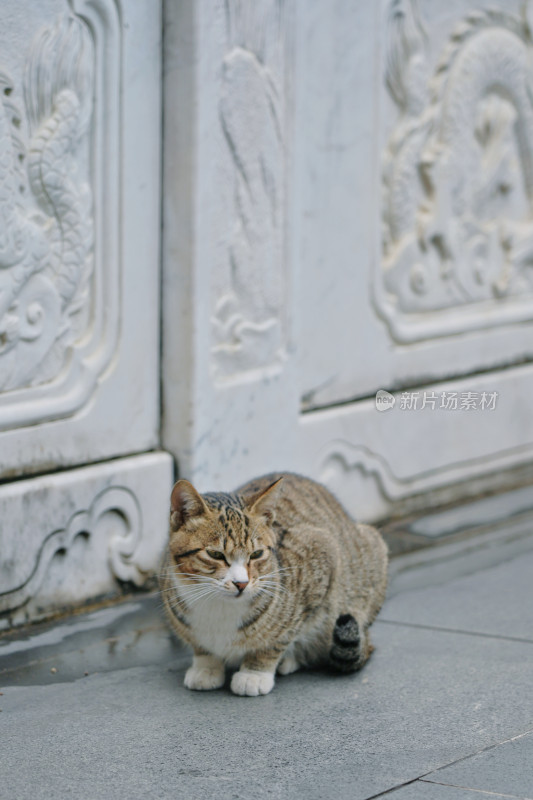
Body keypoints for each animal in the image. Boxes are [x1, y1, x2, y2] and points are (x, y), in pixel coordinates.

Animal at [158, 472, 386, 696]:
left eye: (257, 554)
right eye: (215, 554)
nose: (241, 584)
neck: (218, 605)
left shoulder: (322, 550)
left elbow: (279, 638)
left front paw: (254, 672)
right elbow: (201, 645)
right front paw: (206, 666)